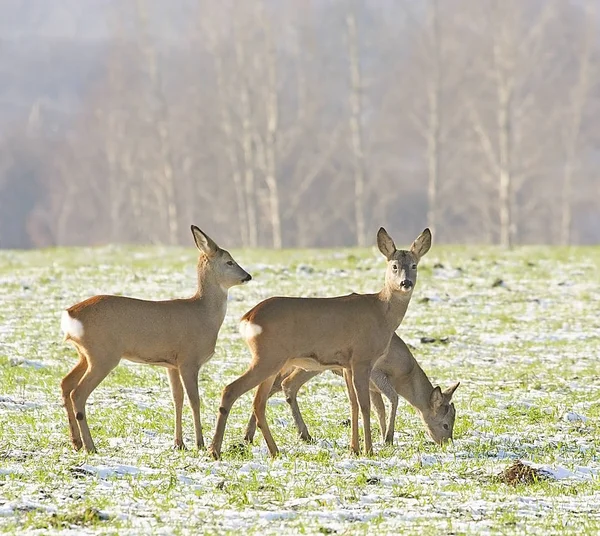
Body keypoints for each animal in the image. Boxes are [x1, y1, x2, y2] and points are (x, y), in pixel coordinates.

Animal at [59, 225, 251, 452]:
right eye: (229, 261)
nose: (247, 276)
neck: (204, 315)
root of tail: (70, 315)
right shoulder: (189, 359)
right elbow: (194, 400)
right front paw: (200, 444)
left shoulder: (171, 364)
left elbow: (177, 399)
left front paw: (179, 443)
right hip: (103, 354)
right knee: (78, 393)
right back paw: (90, 446)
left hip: (85, 354)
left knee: (65, 383)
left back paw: (76, 442)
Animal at [207, 224, 432, 458]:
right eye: (394, 266)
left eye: (414, 265)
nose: (406, 283)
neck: (381, 311)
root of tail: (247, 318)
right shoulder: (362, 358)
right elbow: (365, 405)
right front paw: (369, 450)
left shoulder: (347, 364)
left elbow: (352, 404)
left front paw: (354, 449)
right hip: (268, 357)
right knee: (231, 390)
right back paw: (215, 450)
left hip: (270, 361)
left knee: (258, 402)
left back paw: (273, 450)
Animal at [244, 332, 460, 446]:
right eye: (445, 424)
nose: (446, 442)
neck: (405, 373)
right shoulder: (376, 374)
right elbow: (393, 399)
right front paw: (388, 438)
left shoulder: (373, 388)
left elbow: (379, 409)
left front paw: (383, 435)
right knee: (285, 385)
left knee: (278, 386)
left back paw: (249, 435)